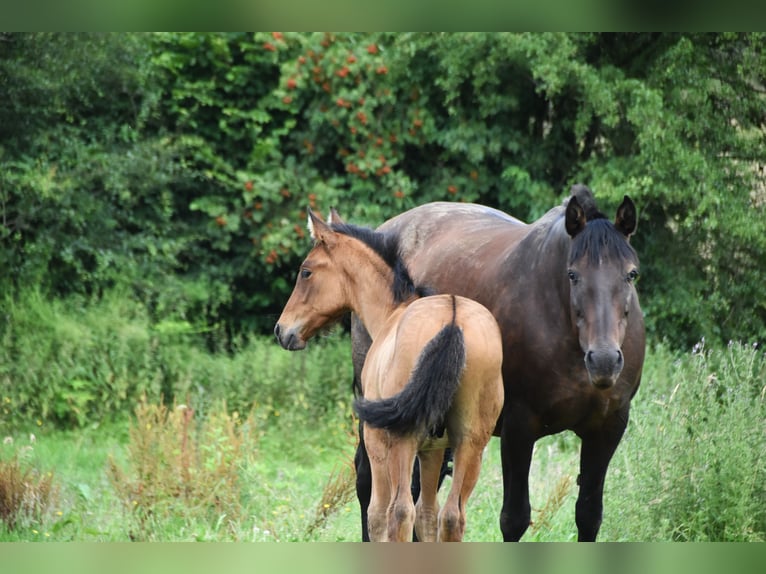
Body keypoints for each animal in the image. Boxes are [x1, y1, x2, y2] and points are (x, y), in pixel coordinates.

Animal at [276, 209, 504, 544]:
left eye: (306, 272)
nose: (282, 330)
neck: (393, 311)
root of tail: (452, 318)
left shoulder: (376, 442)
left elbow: (377, 516)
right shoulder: (433, 451)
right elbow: (427, 516)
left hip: (402, 441)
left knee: (400, 512)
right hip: (470, 444)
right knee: (450, 516)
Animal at [354, 187, 648, 544]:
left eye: (631, 273)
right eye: (572, 274)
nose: (604, 360)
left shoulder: (607, 428)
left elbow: (589, 515)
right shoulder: (519, 427)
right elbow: (514, 518)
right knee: (368, 481)